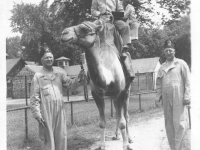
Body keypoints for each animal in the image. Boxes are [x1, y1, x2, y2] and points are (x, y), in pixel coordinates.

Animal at [60, 20, 134, 150]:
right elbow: (102, 122)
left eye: (84, 28)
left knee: (125, 115)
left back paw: (129, 138)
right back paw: (116, 135)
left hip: (126, 92)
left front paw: (126, 145)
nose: (64, 33)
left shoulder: (119, 93)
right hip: (113, 96)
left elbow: (122, 121)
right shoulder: (97, 94)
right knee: (118, 113)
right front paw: (101, 144)